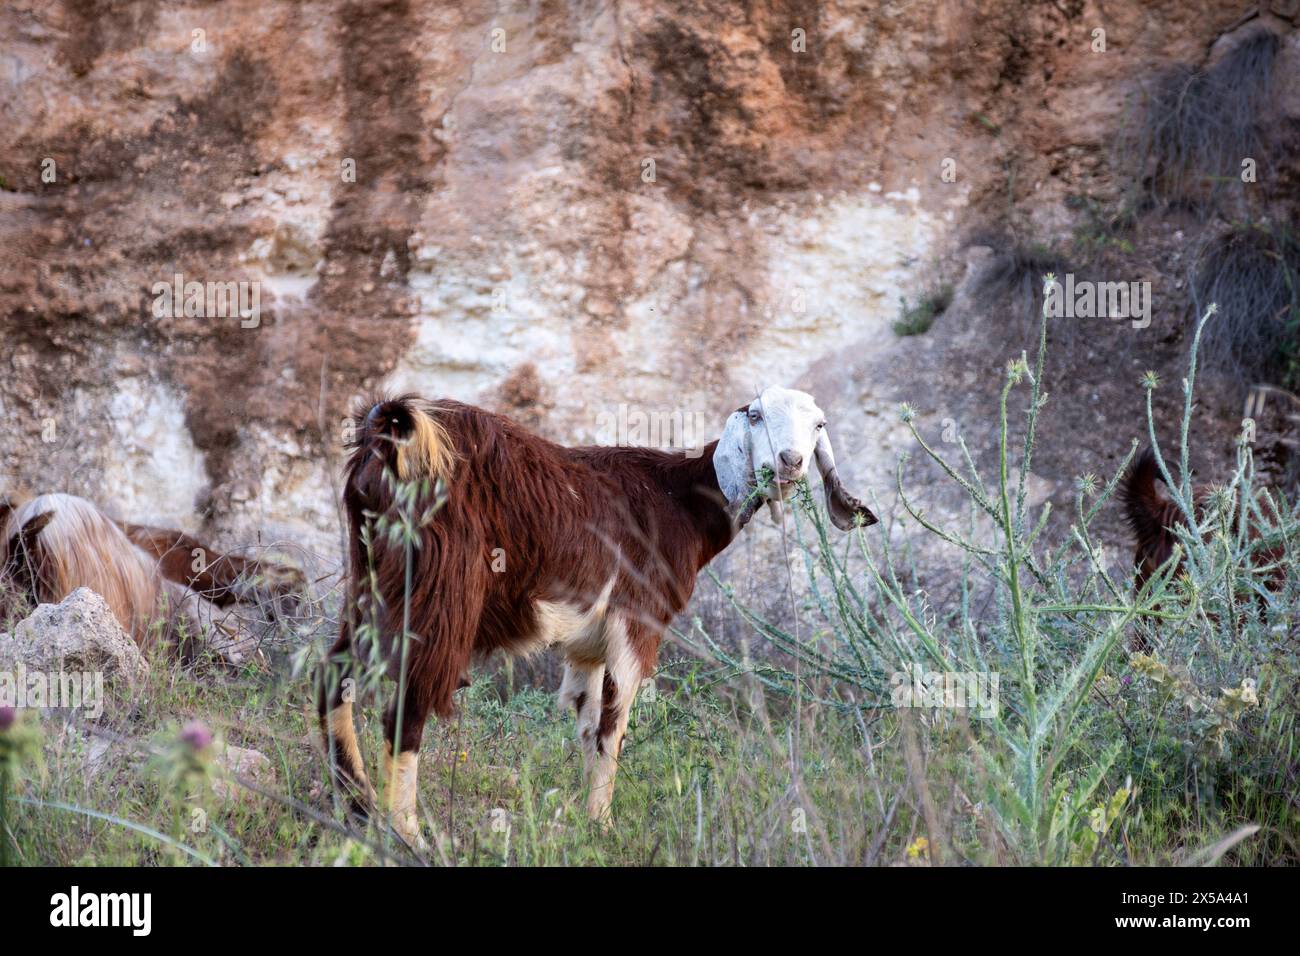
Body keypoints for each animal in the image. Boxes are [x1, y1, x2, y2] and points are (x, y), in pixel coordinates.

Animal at [313, 385, 873, 842]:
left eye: (818, 424)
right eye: (755, 415)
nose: (790, 460)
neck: (677, 501)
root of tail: (392, 435)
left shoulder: (586, 647)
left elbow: (586, 726)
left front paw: (587, 822)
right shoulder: (635, 625)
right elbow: (612, 727)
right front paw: (602, 826)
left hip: (371, 581)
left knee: (333, 673)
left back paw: (356, 806)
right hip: (439, 592)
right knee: (406, 706)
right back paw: (404, 831)